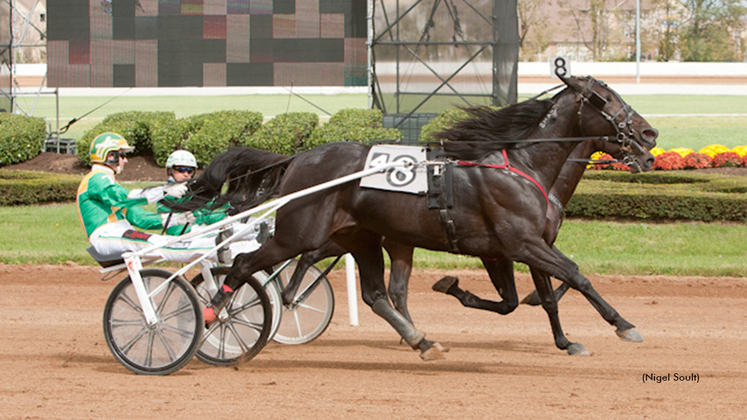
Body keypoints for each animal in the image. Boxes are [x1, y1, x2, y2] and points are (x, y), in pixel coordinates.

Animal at [184, 74, 656, 358]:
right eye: (605, 99)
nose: (649, 134)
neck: (524, 166)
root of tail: (299, 157)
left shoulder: (519, 246)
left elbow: (532, 297)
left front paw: (565, 340)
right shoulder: (521, 243)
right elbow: (575, 275)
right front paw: (624, 324)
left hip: (364, 237)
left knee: (378, 293)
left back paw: (419, 339)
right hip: (300, 232)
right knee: (247, 264)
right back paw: (216, 314)